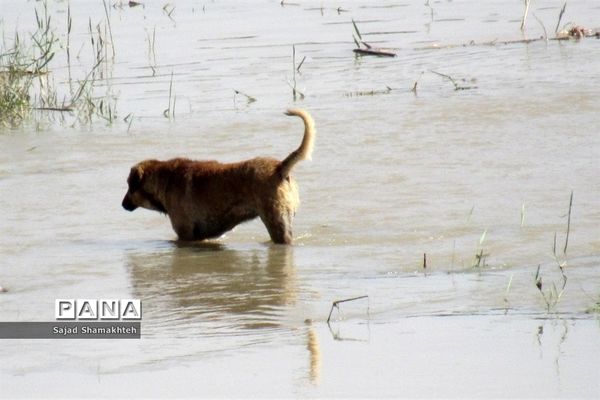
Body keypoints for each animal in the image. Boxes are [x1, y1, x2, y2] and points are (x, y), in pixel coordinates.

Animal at [123, 108, 316, 244]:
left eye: (129, 186)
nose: (122, 204)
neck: (164, 180)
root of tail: (280, 167)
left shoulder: (185, 234)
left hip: (275, 221)